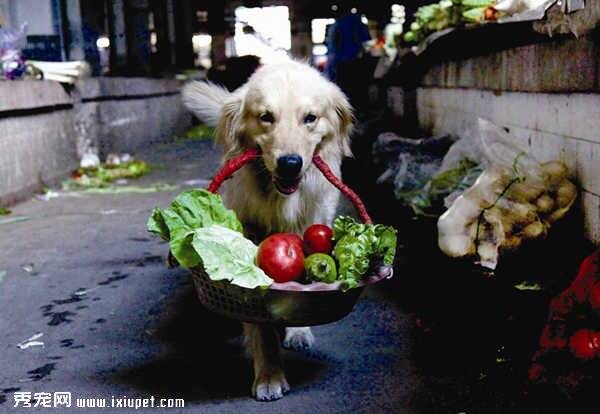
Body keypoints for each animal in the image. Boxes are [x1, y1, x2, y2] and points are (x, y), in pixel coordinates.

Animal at [182, 60, 352, 402]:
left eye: (310, 118)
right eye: (266, 117)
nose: (290, 163)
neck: (280, 200)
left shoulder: (311, 224)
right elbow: (260, 325)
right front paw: (269, 375)